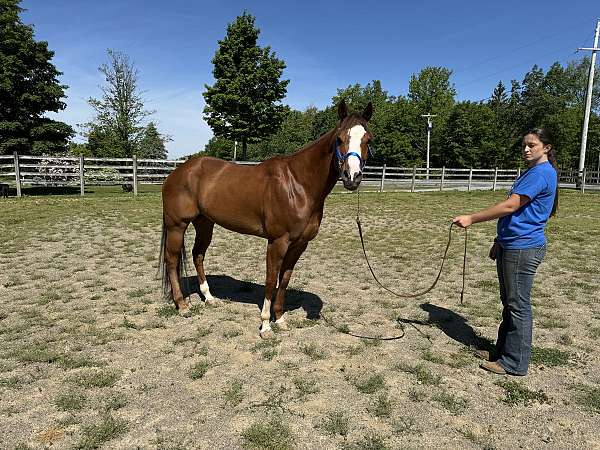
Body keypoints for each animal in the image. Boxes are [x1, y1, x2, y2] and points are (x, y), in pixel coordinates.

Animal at [162, 99, 372, 338]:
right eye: (339, 138)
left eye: (368, 139)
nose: (352, 177)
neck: (298, 184)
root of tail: (177, 172)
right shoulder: (277, 242)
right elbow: (271, 280)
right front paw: (265, 325)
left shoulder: (299, 244)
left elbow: (285, 280)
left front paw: (279, 319)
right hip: (177, 225)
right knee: (172, 260)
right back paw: (182, 305)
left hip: (205, 223)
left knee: (198, 255)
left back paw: (209, 298)